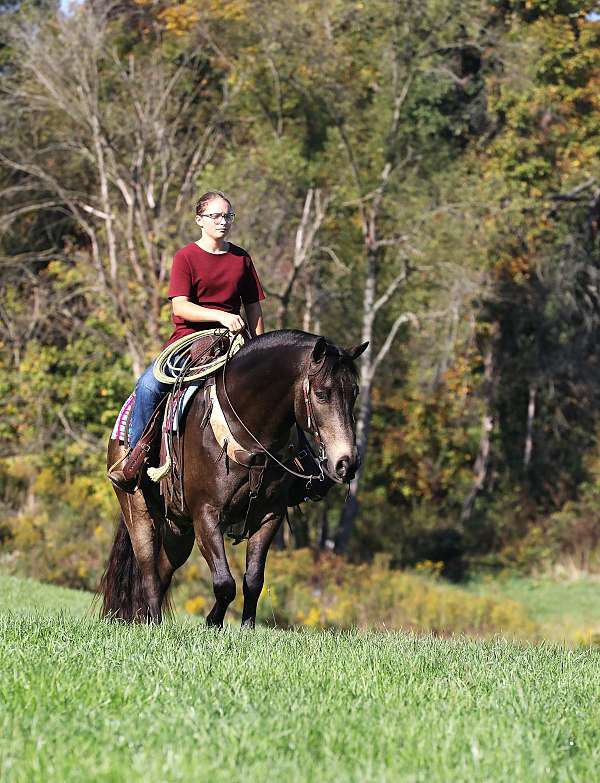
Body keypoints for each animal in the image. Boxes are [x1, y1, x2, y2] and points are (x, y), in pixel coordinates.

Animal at [101, 330, 368, 632]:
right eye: (322, 394)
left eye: (354, 393)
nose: (347, 463)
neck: (249, 431)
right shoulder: (206, 515)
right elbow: (224, 583)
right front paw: (212, 622)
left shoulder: (270, 515)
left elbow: (253, 580)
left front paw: (247, 628)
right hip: (138, 511)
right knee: (149, 572)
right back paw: (154, 623)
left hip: (178, 528)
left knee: (163, 570)